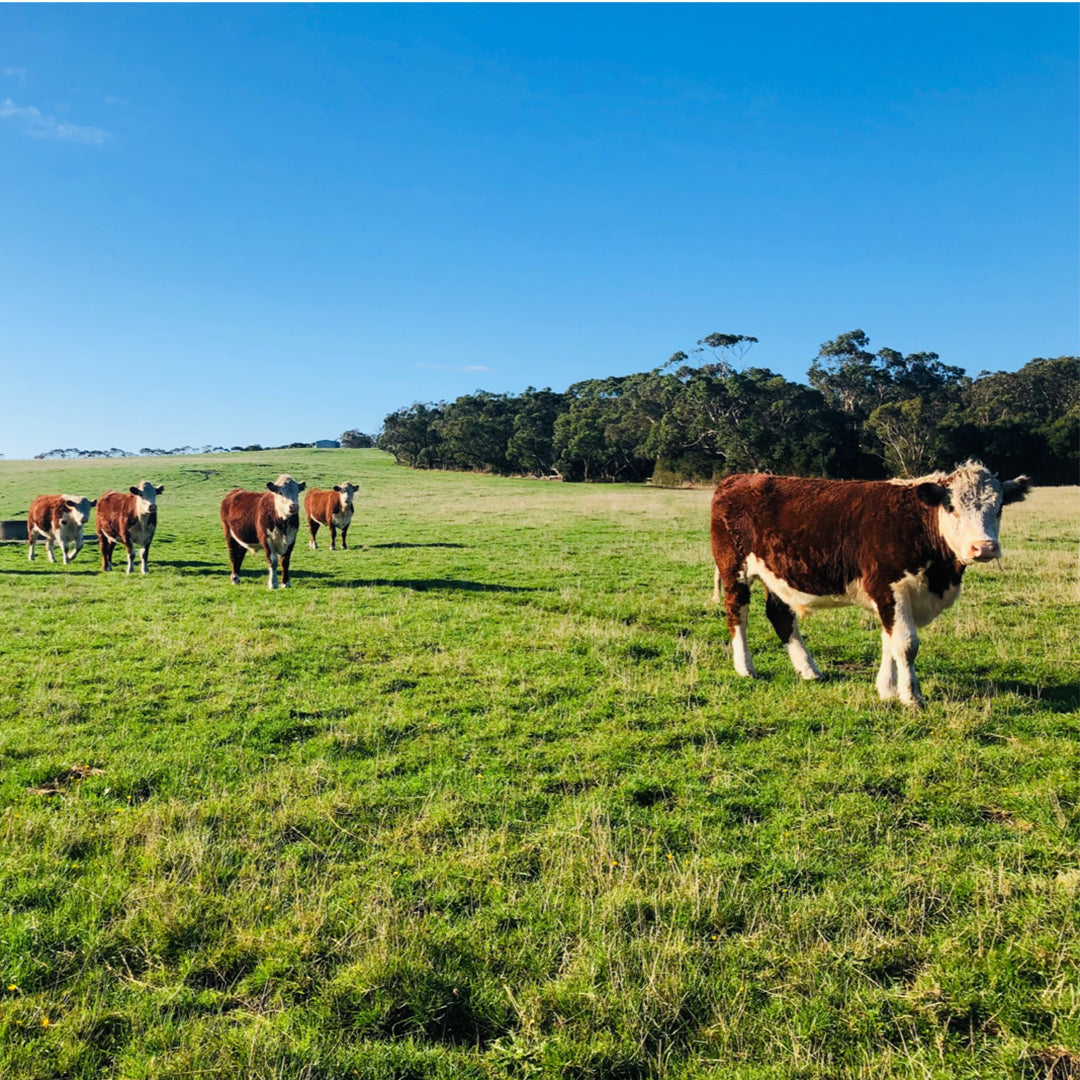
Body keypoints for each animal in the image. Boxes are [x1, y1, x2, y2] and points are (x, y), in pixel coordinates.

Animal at [708, 460, 1028, 704]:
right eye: (951, 507)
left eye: (999, 507)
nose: (984, 547)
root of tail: (738, 478)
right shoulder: (889, 587)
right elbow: (905, 643)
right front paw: (911, 697)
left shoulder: (893, 597)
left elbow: (890, 641)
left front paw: (886, 688)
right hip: (734, 569)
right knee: (737, 614)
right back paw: (745, 667)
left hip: (777, 576)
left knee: (780, 615)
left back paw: (809, 670)